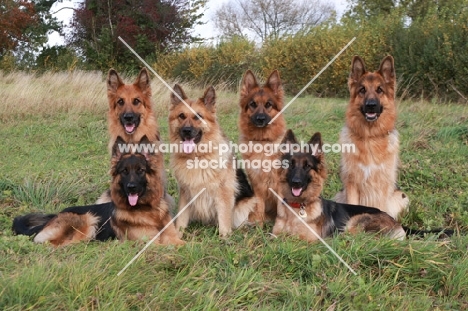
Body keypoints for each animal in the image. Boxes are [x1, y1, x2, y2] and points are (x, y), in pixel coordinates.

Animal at [11, 138, 184, 247]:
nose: (131, 187)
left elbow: (185, 244)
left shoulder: (173, 238)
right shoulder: (150, 243)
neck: (149, 211)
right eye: (124, 171)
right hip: (88, 218)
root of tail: (53, 217)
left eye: (140, 170)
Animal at [168, 84, 256, 238]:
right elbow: (182, 217)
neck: (197, 157)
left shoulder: (223, 193)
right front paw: (178, 235)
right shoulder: (185, 193)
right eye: (181, 116)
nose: (186, 130)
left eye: (198, 116)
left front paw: (225, 237)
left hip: (248, 203)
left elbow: (224, 219)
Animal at [239, 70, 288, 227]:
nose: (260, 119)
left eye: (268, 104)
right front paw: (259, 226)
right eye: (253, 104)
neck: (262, 143)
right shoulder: (256, 184)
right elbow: (259, 206)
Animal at [274, 130, 406, 243]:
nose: (296, 182)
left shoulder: (307, 239)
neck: (296, 206)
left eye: (307, 166)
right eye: (291, 165)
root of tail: (396, 222)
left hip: (355, 222)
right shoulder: (275, 235)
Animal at [334, 56, 408, 222]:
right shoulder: (352, 184)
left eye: (379, 90)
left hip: (401, 196)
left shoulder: (383, 185)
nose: (371, 105)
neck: (370, 137)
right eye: (362, 90)